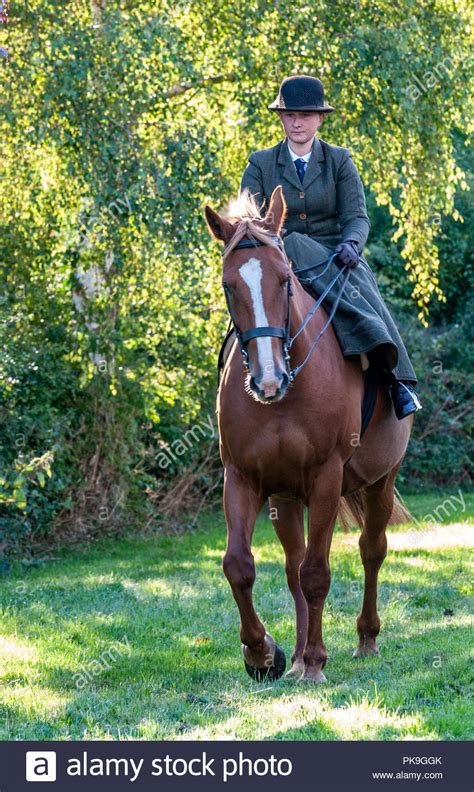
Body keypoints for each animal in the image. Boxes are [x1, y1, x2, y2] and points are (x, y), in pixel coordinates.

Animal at [206, 186, 412, 680]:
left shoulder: (325, 478)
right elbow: (240, 566)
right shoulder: (241, 477)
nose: (268, 381)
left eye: (285, 281)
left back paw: (364, 640)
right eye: (228, 286)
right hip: (283, 496)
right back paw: (298, 656)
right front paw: (263, 653)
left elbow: (318, 572)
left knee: (371, 550)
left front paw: (317, 661)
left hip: (381, 481)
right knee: (292, 565)